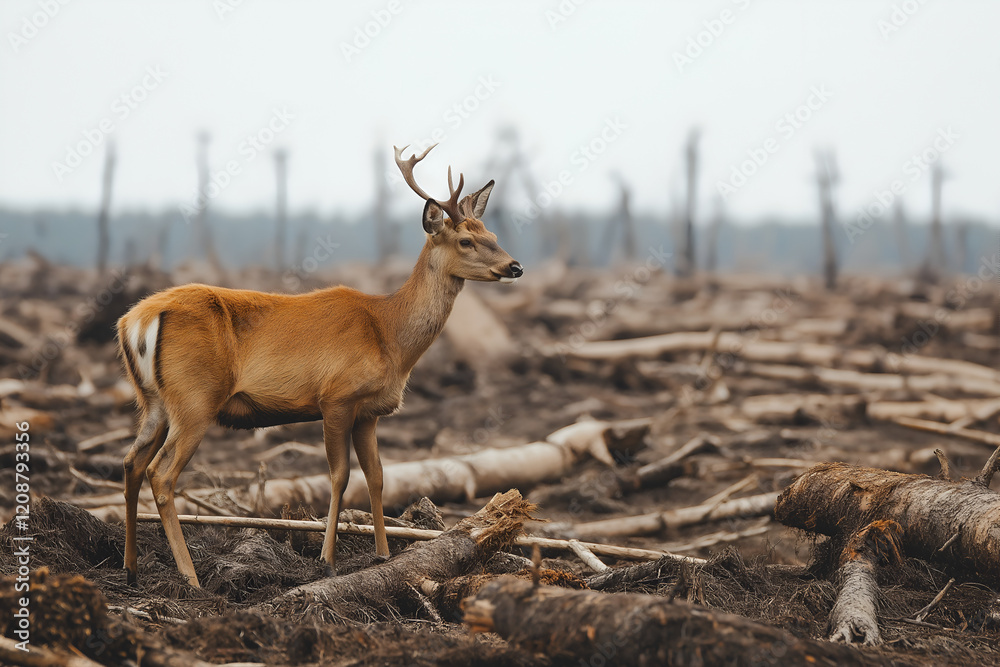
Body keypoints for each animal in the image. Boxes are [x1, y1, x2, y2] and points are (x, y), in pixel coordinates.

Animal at [117, 144, 522, 587]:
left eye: (493, 235)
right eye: (466, 240)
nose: (515, 266)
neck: (390, 334)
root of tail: (134, 320)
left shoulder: (368, 412)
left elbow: (376, 475)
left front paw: (382, 554)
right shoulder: (336, 397)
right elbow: (340, 476)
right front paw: (327, 560)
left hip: (154, 402)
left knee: (131, 462)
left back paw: (131, 568)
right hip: (195, 398)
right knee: (162, 473)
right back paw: (190, 576)